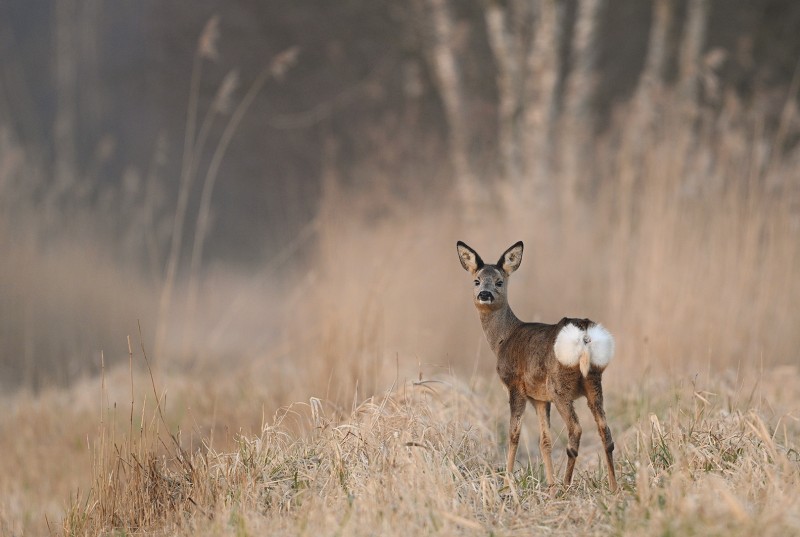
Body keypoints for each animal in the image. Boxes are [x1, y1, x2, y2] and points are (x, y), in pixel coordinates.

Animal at [456, 241, 620, 492]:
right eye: (476, 281)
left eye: (499, 281)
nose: (485, 294)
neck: (503, 338)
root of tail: (584, 334)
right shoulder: (540, 398)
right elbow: (545, 440)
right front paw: (549, 485)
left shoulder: (515, 385)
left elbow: (514, 434)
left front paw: (508, 482)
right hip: (593, 381)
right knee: (605, 431)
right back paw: (612, 486)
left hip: (560, 386)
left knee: (576, 429)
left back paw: (567, 485)